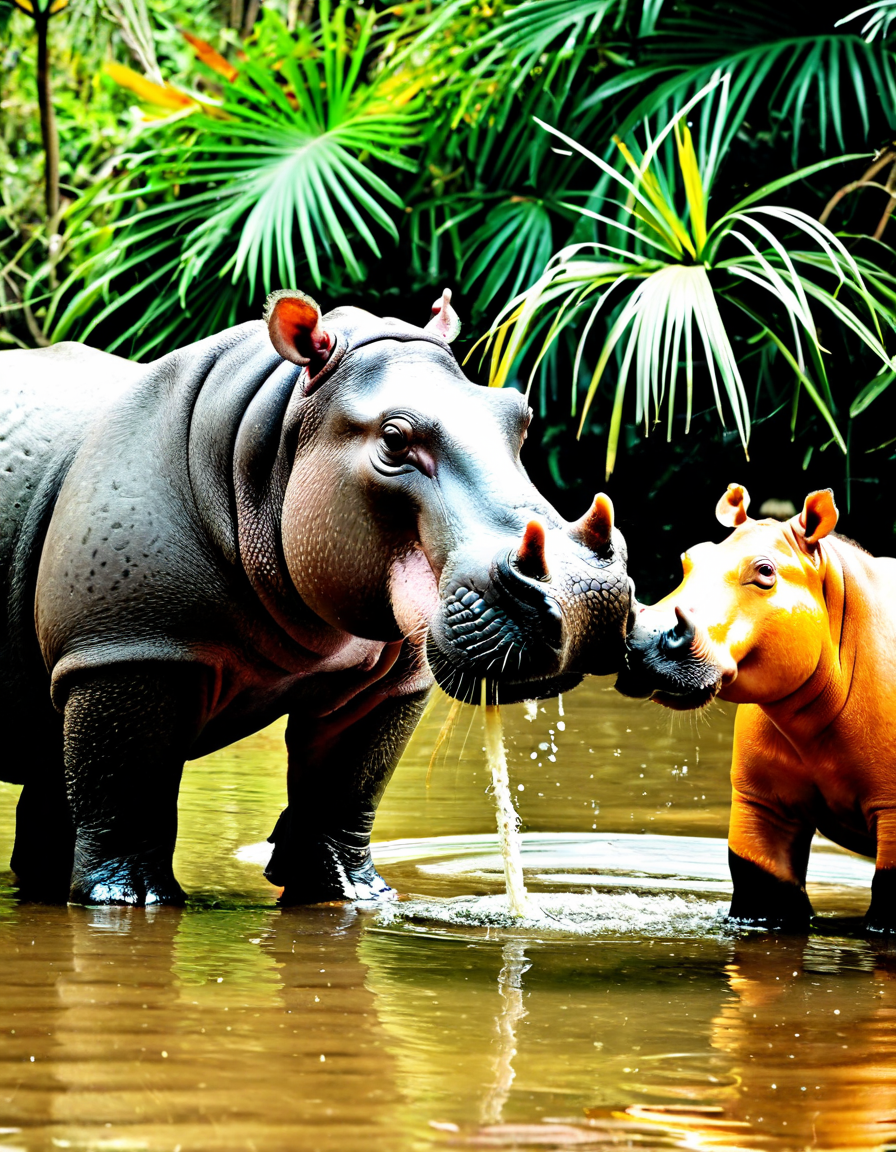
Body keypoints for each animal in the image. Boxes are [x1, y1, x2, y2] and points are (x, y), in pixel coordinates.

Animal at [0, 289, 632, 907]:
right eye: (394, 440)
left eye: (520, 417)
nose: (585, 596)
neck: (274, 436)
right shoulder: (131, 649)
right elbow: (129, 799)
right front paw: (131, 901)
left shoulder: (391, 679)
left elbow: (344, 791)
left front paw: (356, 896)